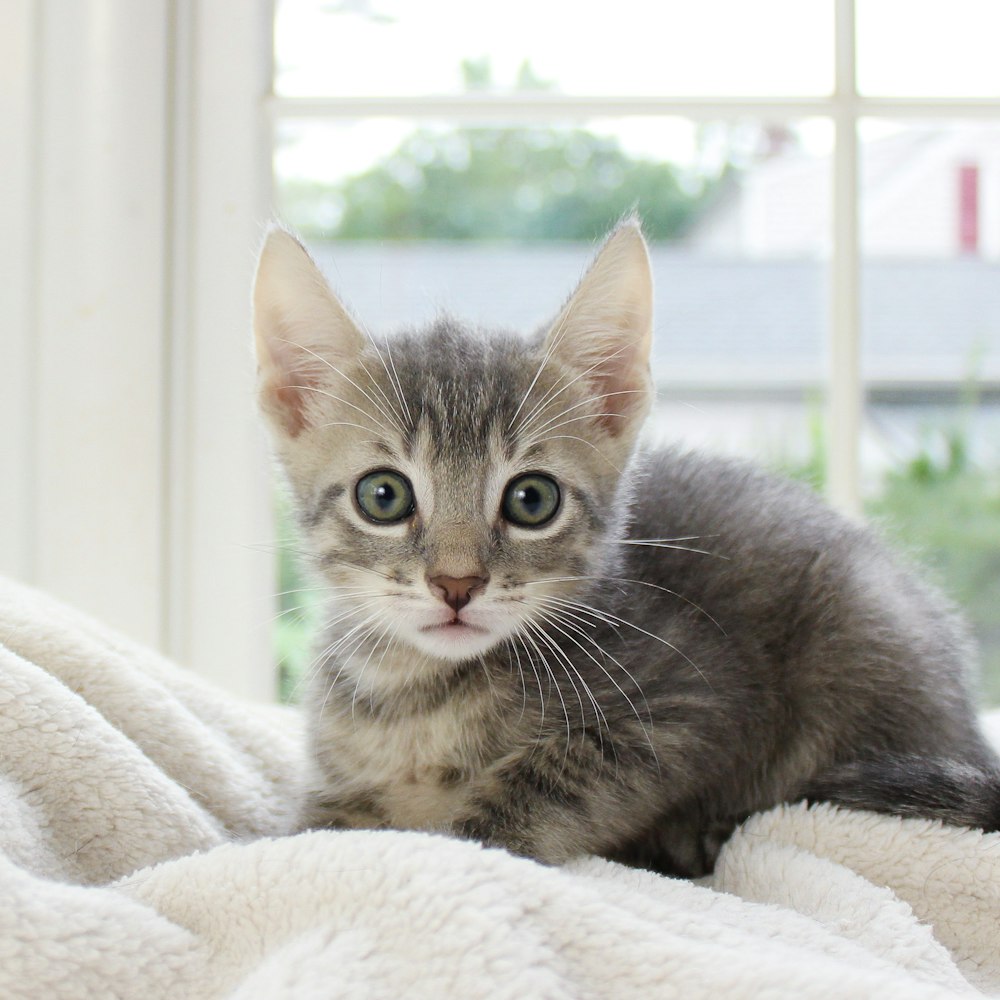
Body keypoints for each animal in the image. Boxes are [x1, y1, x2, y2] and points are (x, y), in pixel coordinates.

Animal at [252, 221, 1000, 876]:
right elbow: (305, 835)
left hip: (860, 631)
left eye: (532, 500)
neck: (415, 692)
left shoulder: (689, 699)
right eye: (383, 496)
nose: (456, 584)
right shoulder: (337, 782)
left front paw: (465, 845)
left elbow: (545, 782)